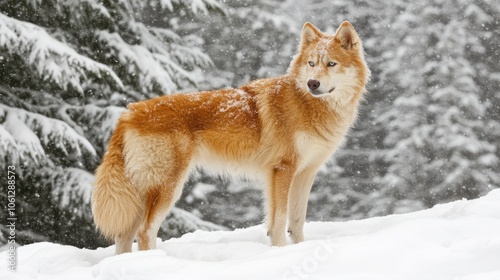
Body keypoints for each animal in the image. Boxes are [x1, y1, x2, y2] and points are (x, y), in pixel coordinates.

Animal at [92, 21, 370, 254]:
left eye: (331, 64)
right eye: (311, 64)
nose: (313, 83)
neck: (308, 105)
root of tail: (128, 113)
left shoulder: (305, 173)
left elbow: (297, 221)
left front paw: (299, 249)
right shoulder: (282, 170)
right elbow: (279, 220)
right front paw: (280, 252)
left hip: (140, 196)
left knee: (124, 237)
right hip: (168, 187)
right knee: (145, 232)